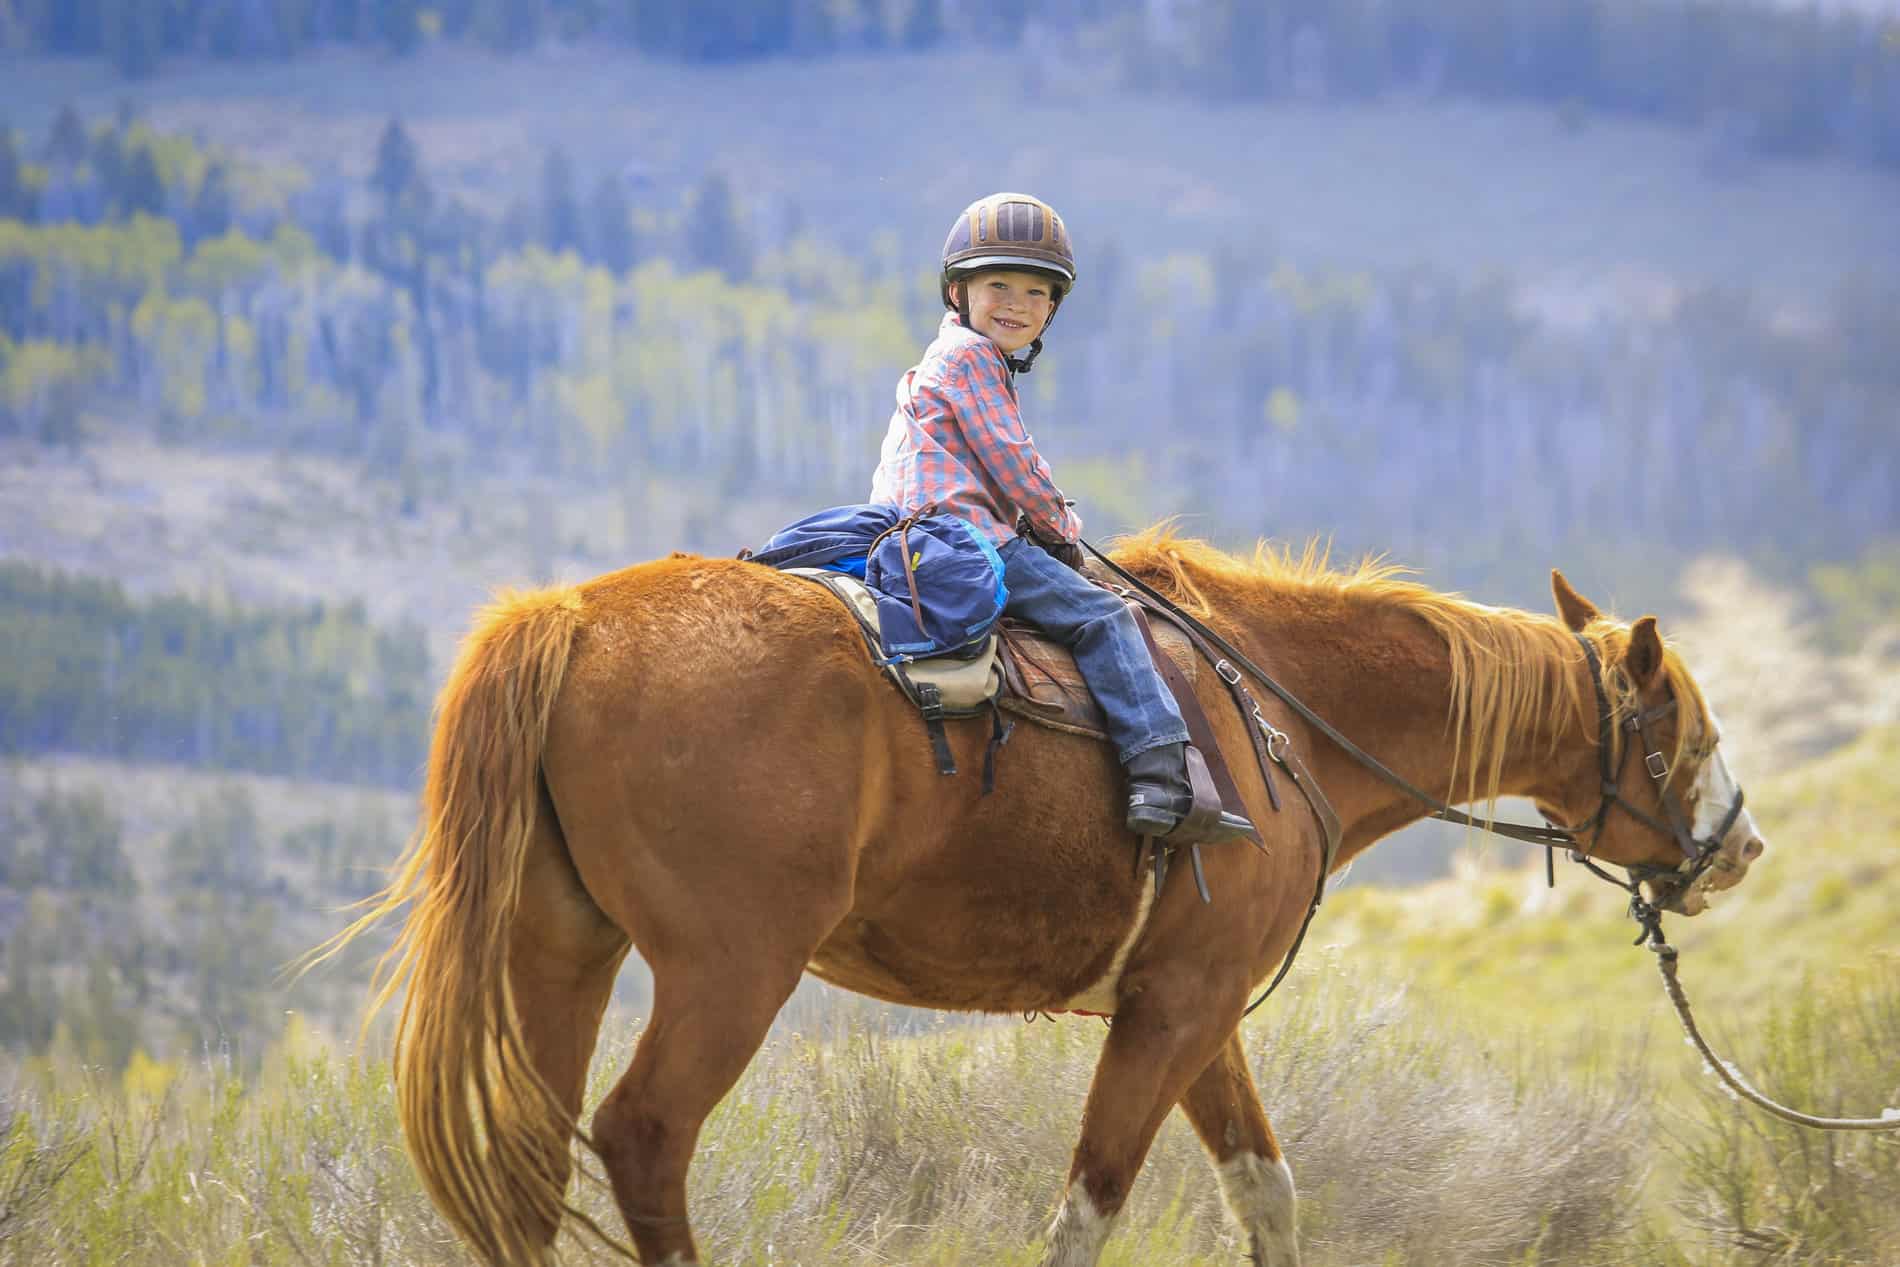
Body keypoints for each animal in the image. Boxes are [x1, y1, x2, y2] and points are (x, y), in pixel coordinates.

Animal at [326, 528, 1763, 1267]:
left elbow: (1265, 1188)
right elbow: (1090, 1204)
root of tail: (568, 618)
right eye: (1682, 726)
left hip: (560, 949)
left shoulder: (1196, 1009)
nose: (1740, 845)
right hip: (729, 973)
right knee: (643, 1134)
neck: (1281, 709)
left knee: (527, 1156)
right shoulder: (1173, 1010)